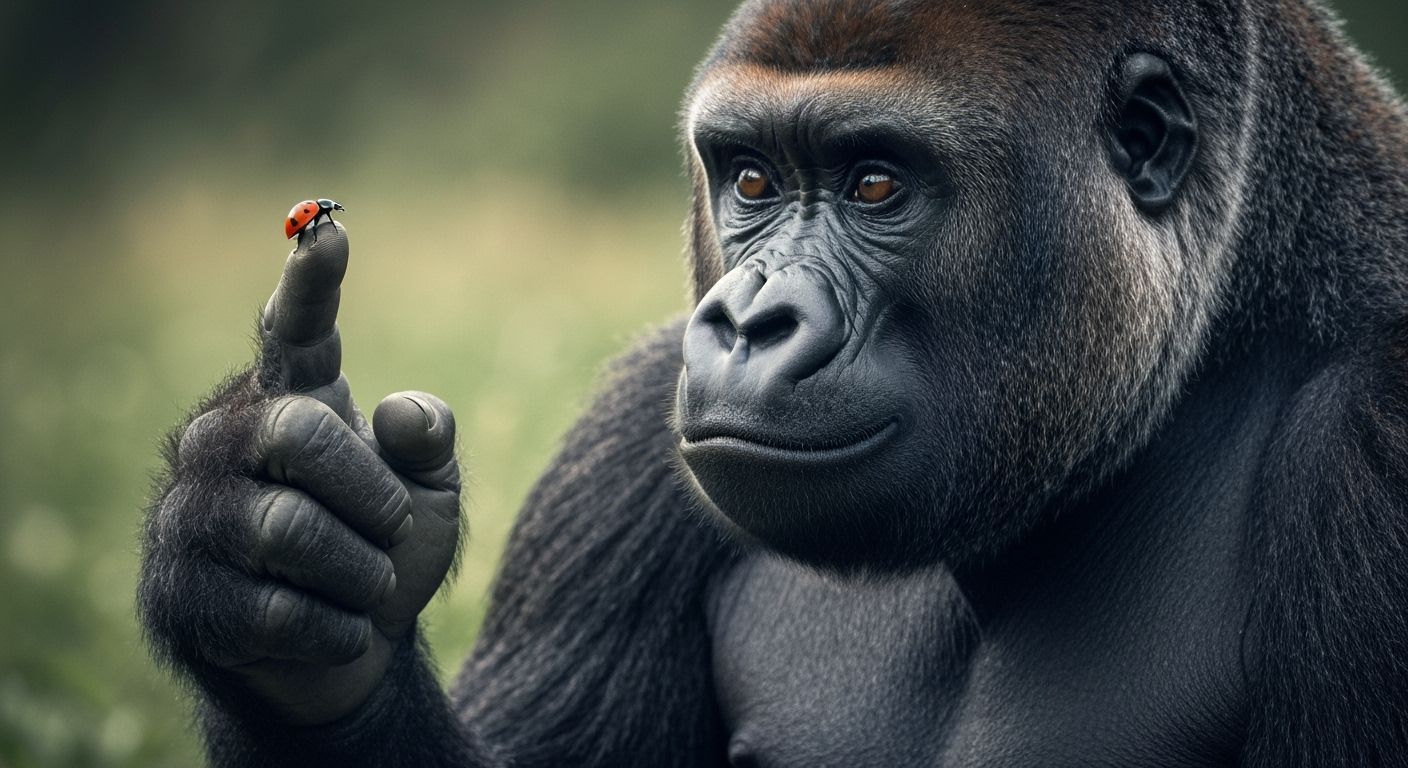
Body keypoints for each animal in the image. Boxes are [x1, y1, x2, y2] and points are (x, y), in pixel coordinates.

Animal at [138, 0, 1408, 765]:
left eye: (876, 184)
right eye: (748, 177)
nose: (747, 321)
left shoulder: (1380, 441)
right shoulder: (632, 444)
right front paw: (275, 596)